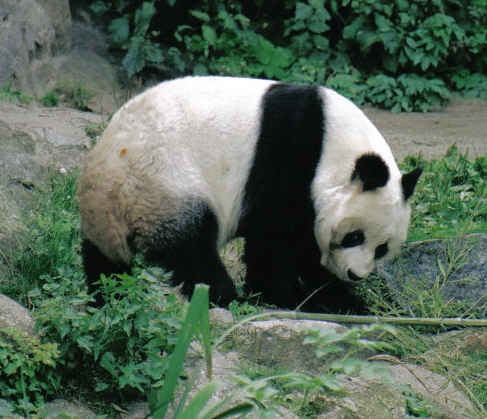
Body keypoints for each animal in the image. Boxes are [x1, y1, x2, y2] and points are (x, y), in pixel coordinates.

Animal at [78, 76, 422, 312]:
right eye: (354, 237)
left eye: (382, 248)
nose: (356, 275)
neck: (334, 144)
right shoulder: (290, 157)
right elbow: (278, 241)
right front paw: (289, 297)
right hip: (167, 184)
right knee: (192, 247)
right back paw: (223, 296)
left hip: (108, 215)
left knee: (104, 260)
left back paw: (108, 296)